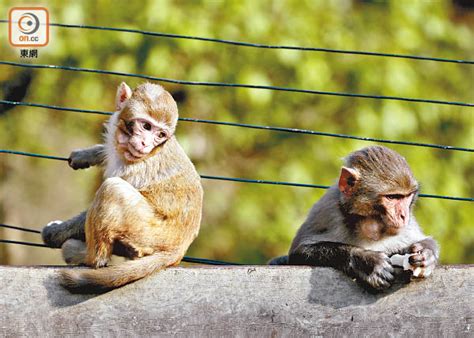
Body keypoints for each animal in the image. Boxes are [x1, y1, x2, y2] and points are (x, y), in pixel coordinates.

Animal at [41, 80, 202, 292]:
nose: (145, 144)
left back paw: (90, 258)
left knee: (112, 188)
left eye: (160, 134)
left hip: (148, 233)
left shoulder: (135, 168)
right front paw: (85, 155)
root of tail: (178, 249)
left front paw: (55, 233)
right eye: (146, 126)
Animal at [268, 147, 438, 292]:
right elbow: (299, 251)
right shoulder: (329, 211)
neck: (370, 224)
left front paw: (426, 254)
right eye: (392, 197)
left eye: (407, 196)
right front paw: (367, 261)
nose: (403, 215)